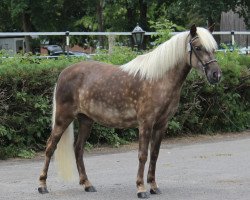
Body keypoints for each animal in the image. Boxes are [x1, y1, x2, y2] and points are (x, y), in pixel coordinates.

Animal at [37, 24, 221, 198]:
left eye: (213, 48)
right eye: (198, 47)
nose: (216, 75)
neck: (159, 79)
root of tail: (64, 72)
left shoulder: (161, 124)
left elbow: (154, 155)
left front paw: (154, 186)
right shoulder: (146, 123)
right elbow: (143, 155)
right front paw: (141, 189)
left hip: (85, 120)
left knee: (78, 148)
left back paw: (87, 184)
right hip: (63, 118)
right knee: (50, 147)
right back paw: (42, 186)